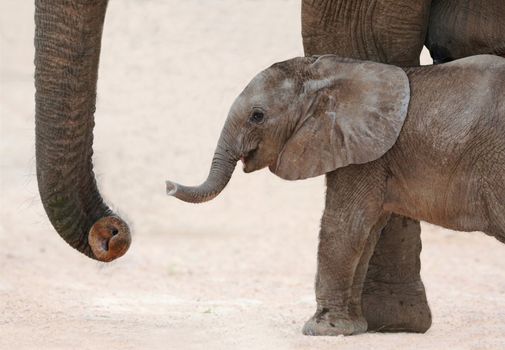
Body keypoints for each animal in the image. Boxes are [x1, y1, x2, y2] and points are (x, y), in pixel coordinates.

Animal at [166, 54, 504, 336]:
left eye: (257, 116)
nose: (168, 185)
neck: (328, 73)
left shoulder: (362, 153)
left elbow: (343, 226)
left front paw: (321, 330)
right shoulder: (365, 150)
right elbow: (366, 233)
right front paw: (352, 329)